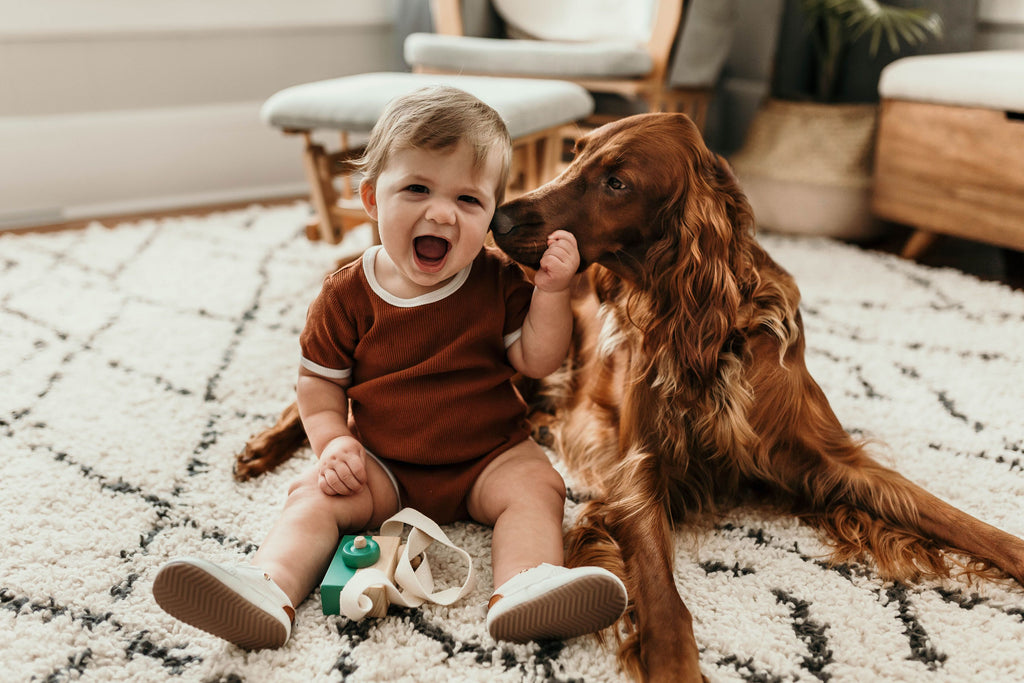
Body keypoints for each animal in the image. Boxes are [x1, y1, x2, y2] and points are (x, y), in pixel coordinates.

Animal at [485, 114, 1024, 679]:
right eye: (575, 152)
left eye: (617, 183)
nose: (498, 218)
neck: (712, 332)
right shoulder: (639, 472)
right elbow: (664, 601)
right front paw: (675, 666)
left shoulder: (826, 459)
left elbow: (950, 516)